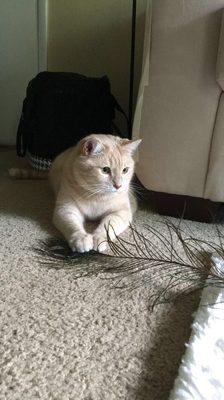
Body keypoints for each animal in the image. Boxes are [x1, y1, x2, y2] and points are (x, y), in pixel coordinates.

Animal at [9, 134, 142, 253]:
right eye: (105, 170)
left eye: (125, 170)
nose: (118, 186)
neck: (96, 195)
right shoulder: (66, 209)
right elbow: (72, 226)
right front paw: (81, 239)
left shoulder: (121, 213)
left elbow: (108, 226)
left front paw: (99, 238)